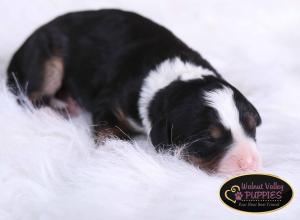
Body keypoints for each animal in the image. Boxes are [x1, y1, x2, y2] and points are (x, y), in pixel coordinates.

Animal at [7, 9, 262, 174]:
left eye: (252, 127)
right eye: (209, 139)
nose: (250, 164)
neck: (171, 82)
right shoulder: (109, 102)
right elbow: (108, 130)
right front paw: (115, 154)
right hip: (46, 61)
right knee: (28, 95)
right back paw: (54, 113)